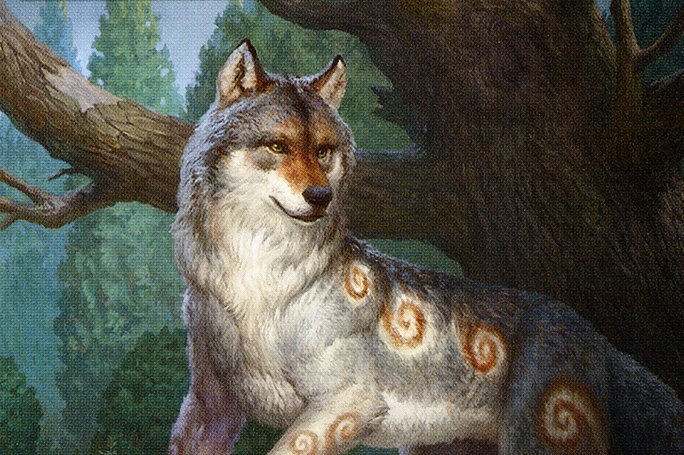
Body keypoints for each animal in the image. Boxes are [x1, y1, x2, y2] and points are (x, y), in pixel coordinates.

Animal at [170, 40, 684, 454]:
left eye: (322, 152)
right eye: (277, 147)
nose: (320, 196)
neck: (255, 280)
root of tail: (600, 342)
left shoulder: (347, 404)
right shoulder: (210, 405)